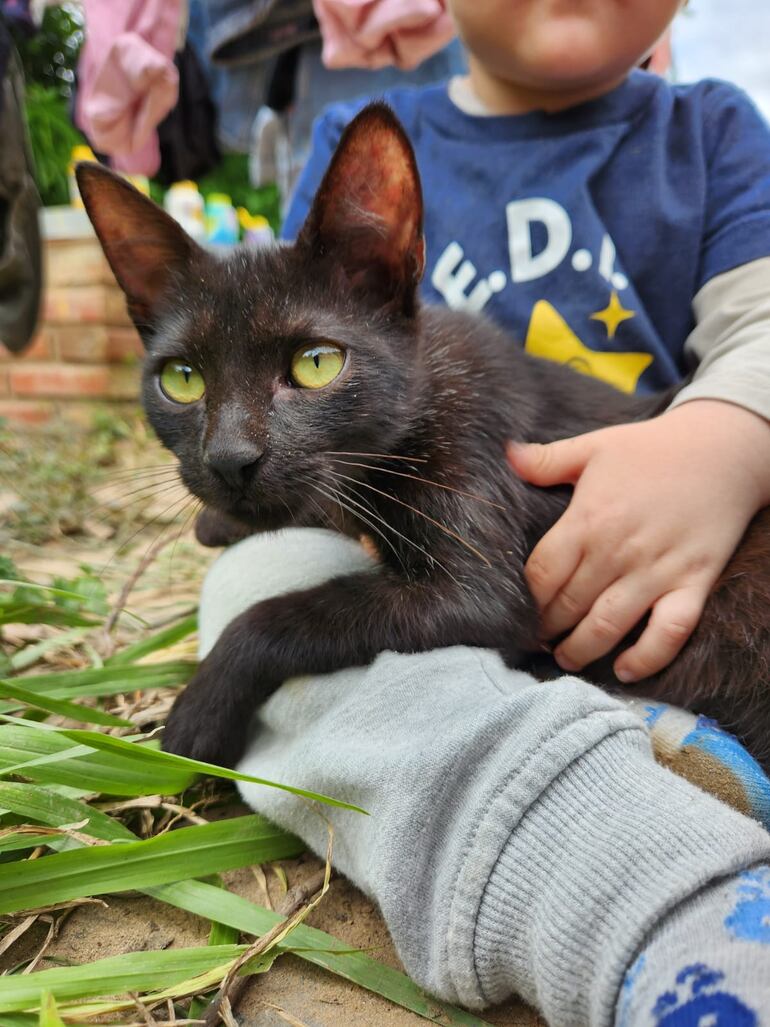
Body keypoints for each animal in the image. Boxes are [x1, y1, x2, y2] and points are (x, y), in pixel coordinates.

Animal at [77, 106, 770, 772]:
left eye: (317, 364)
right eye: (182, 379)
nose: (228, 459)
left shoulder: (479, 563)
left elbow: (284, 615)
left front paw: (197, 713)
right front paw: (223, 522)